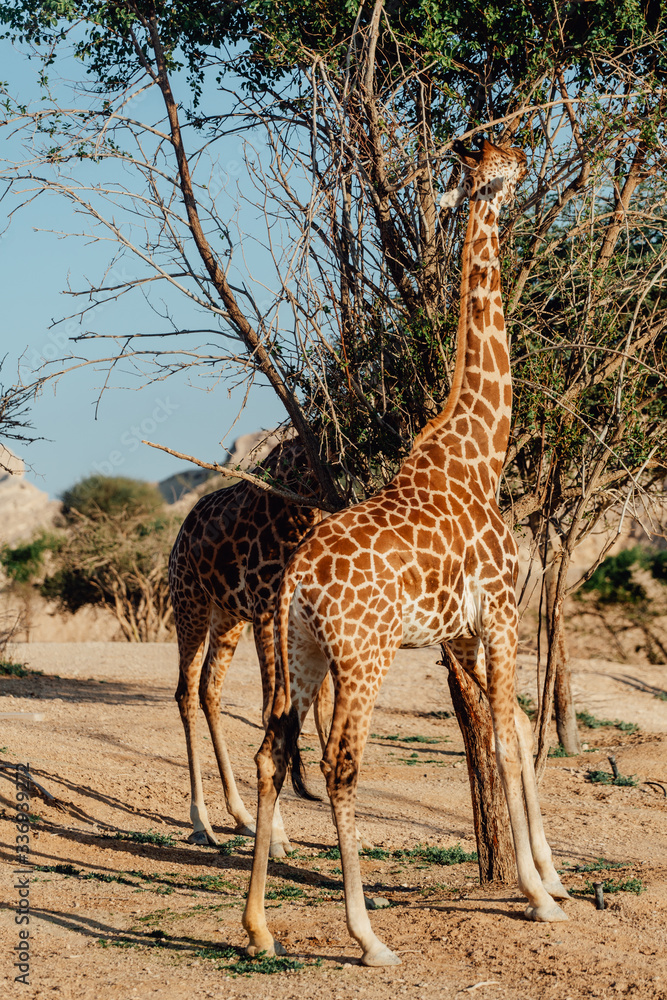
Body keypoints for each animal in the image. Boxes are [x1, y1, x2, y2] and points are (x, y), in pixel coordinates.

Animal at [169, 438, 333, 857]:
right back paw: (201, 822)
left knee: (209, 688)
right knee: (186, 691)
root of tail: (180, 535)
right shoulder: (266, 610)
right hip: (190, 603)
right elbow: (270, 710)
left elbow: (313, 714)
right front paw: (276, 836)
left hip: (227, 617)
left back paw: (241, 815)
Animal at [243, 137, 571, 967]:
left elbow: (509, 730)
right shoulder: (496, 613)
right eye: (499, 157)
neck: (479, 452)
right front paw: (536, 895)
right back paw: (367, 938)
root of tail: (298, 578)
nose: (526, 159)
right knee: (339, 764)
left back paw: (258, 930)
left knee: (272, 750)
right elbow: (503, 738)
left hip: (302, 649)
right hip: (365, 652)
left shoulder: (462, 630)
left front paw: (552, 880)